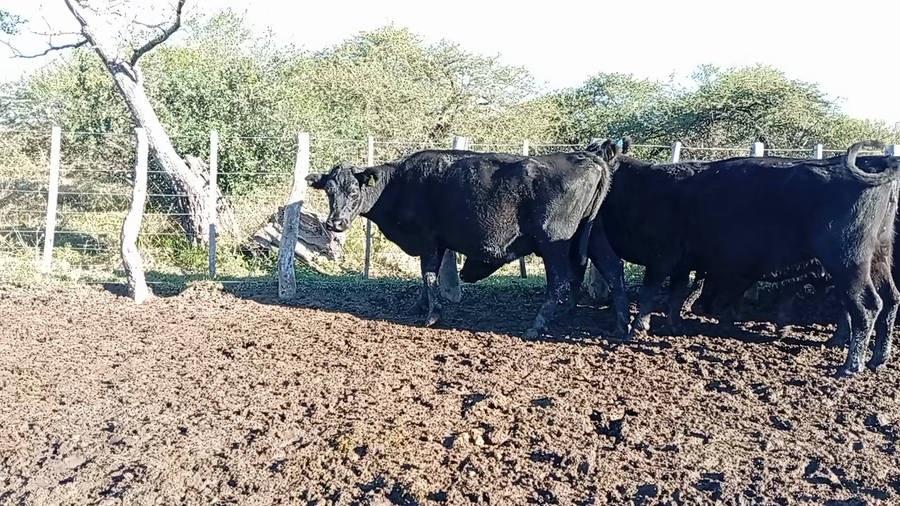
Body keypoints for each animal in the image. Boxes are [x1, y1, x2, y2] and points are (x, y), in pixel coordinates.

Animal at [305, 148, 613, 339]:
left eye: (353, 191)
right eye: (329, 191)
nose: (335, 223)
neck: (399, 184)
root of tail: (586, 157)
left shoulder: (428, 238)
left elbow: (428, 275)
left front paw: (432, 315)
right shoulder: (437, 242)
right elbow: (427, 278)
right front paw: (420, 306)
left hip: (552, 243)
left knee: (559, 282)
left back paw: (536, 327)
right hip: (577, 241)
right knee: (580, 273)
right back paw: (565, 316)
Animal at [588, 139, 900, 376]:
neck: (643, 188)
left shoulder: (661, 255)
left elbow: (650, 291)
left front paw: (637, 328)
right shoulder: (681, 261)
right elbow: (677, 293)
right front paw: (673, 324)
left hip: (849, 260)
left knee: (867, 306)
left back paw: (851, 366)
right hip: (879, 255)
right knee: (890, 299)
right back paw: (877, 359)